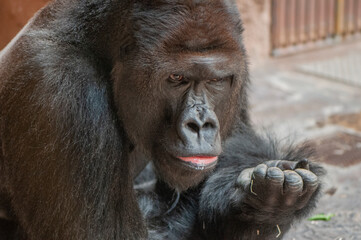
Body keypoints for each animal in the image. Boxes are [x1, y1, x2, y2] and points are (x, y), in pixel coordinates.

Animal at [0, 0, 322, 240]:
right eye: (176, 78)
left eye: (216, 80)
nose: (200, 125)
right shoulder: (60, 86)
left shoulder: (239, 57)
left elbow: (238, 142)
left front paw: (260, 208)